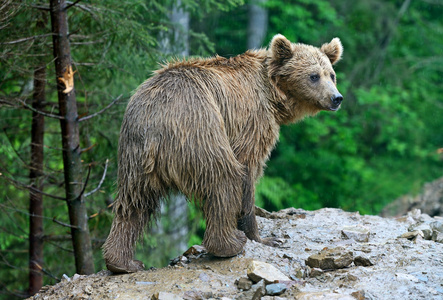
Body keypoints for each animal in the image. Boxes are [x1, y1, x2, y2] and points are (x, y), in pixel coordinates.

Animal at [103, 34, 344, 274]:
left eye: (331, 74)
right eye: (314, 76)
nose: (336, 98)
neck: (273, 95)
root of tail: (156, 120)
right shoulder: (251, 120)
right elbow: (247, 171)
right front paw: (263, 237)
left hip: (134, 151)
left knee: (134, 201)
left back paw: (123, 262)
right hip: (199, 129)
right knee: (223, 177)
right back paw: (229, 244)